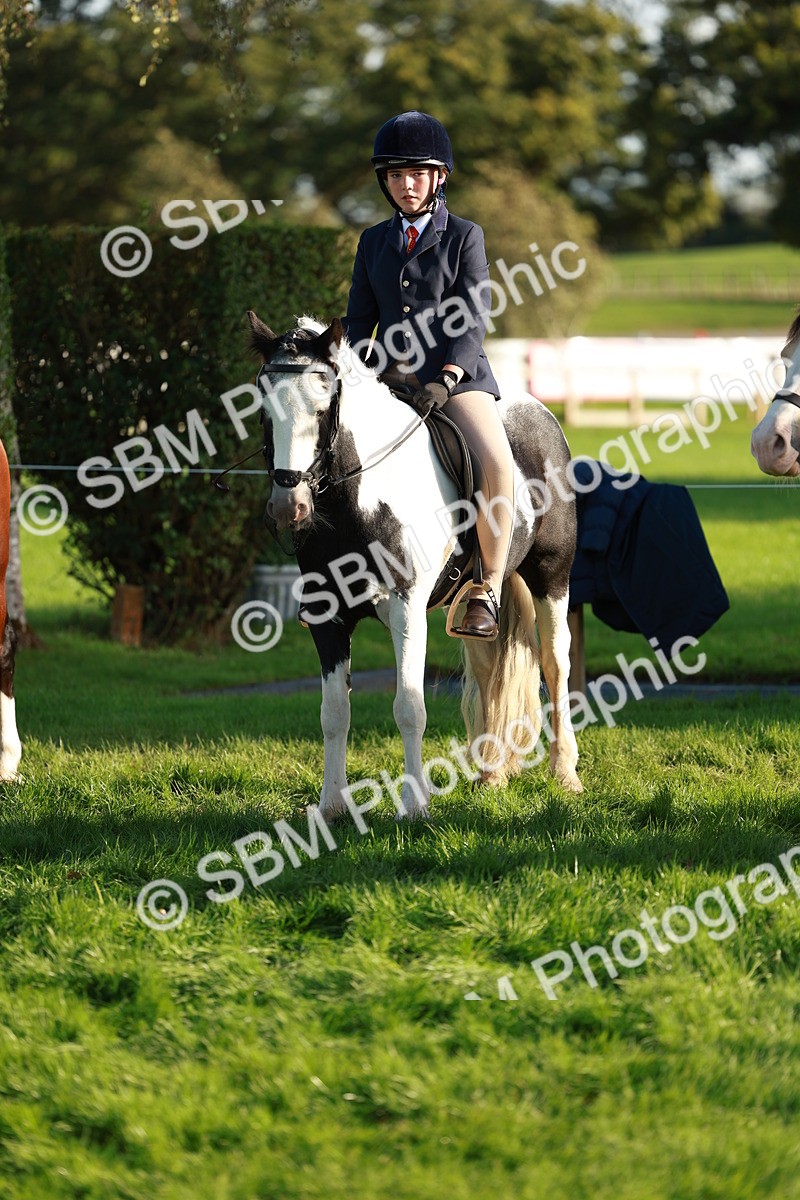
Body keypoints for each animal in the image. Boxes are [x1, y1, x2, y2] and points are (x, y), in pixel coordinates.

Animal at [246, 312, 581, 821]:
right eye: (264, 410)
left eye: (323, 408)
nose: (290, 507)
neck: (360, 498)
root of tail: (539, 412)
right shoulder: (327, 617)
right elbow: (333, 714)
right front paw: (331, 808)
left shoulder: (406, 610)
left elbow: (409, 707)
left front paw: (415, 805)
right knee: (487, 666)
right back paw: (491, 775)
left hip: (552, 575)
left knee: (555, 663)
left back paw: (565, 774)